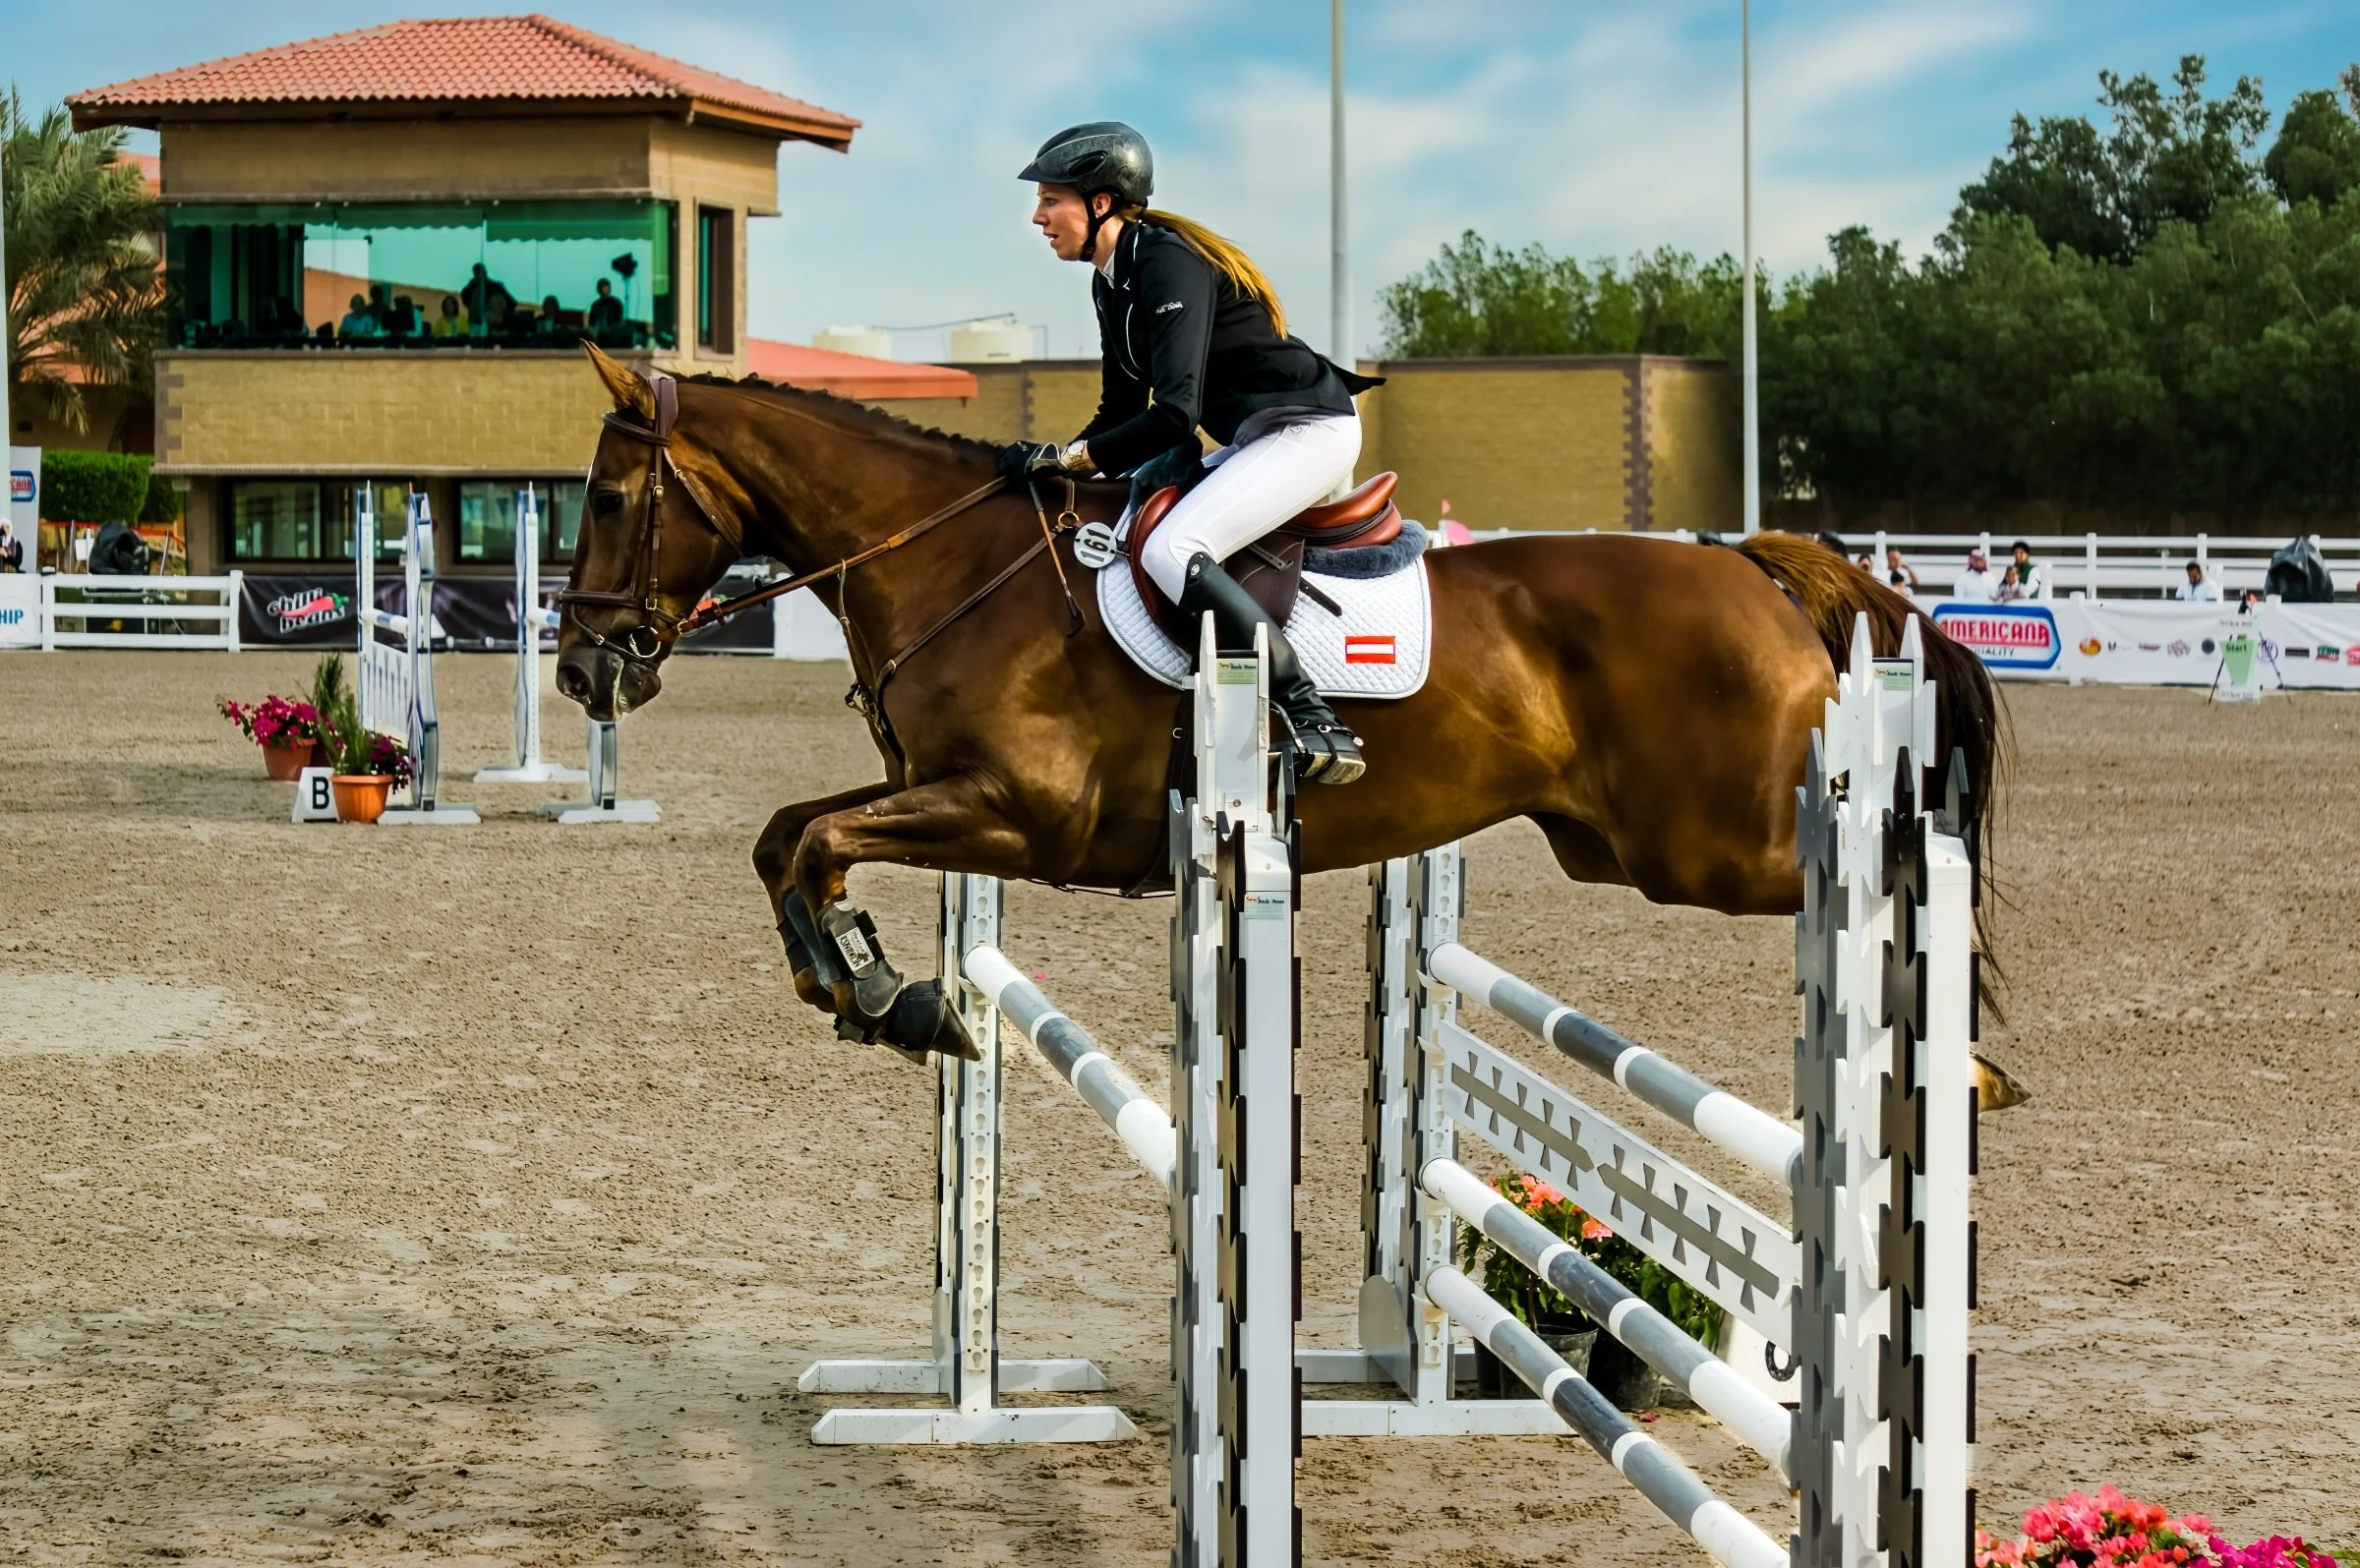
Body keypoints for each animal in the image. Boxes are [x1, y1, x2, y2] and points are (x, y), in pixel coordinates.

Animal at [554, 344, 2020, 1103]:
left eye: (611, 498)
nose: (581, 668)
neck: (953, 561)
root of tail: (1758, 565)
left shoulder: (1020, 813)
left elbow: (810, 840)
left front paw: (881, 989)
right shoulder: (936, 794)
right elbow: (787, 837)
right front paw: (870, 986)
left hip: (1710, 846)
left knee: (1903, 863)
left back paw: (1961, 1060)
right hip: (1622, 844)